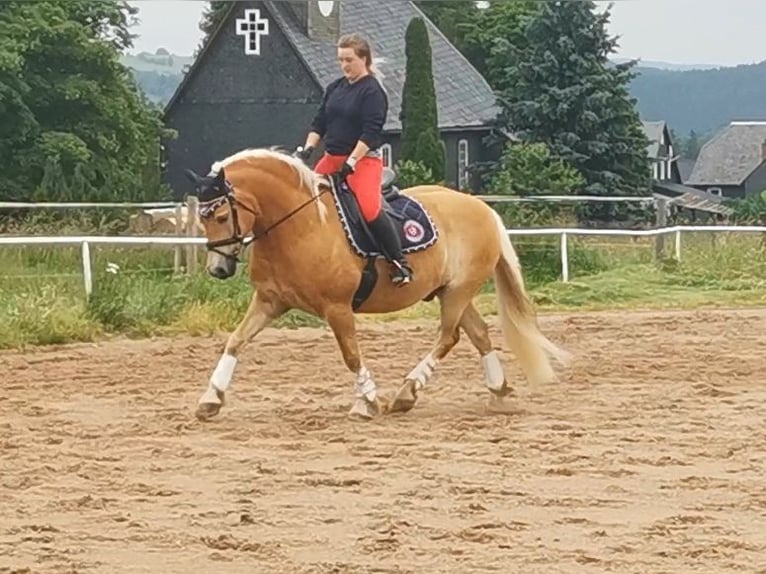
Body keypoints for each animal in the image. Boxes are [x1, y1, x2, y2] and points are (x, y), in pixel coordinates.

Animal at [183, 147, 570, 420]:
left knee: (449, 336)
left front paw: (367, 401)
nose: (218, 268)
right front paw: (210, 399)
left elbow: (351, 355)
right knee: (478, 334)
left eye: (221, 216)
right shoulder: (269, 301)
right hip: (452, 291)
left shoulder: (337, 308)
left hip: (459, 291)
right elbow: (235, 341)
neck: (300, 224)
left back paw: (407, 393)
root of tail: (482, 208)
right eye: (203, 219)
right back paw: (498, 392)